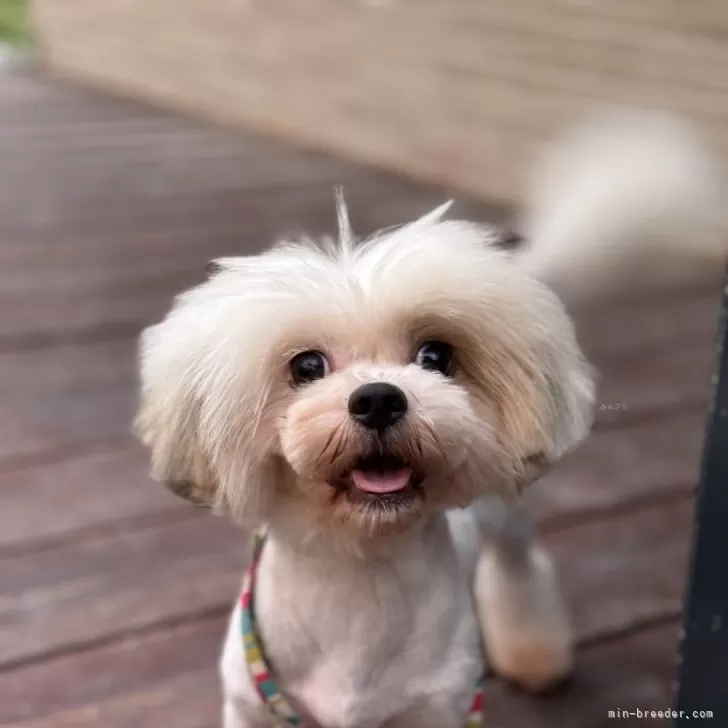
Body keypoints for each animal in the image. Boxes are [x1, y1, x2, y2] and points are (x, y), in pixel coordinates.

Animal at [135, 109, 724, 728]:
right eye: (306, 365)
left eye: (435, 356)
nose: (377, 399)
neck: (359, 571)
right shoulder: (252, 704)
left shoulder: (439, 708)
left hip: (507, 516)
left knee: (519, 567)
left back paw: (535, 655)